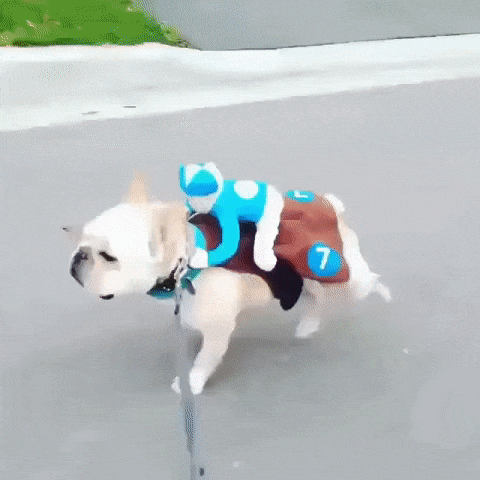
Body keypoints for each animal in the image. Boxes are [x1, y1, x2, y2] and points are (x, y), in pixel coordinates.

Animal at [67, 174, 391, 395]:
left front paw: (192, 383)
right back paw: (307, 326)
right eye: (84, 241)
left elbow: (206, 358)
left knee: (365, 280)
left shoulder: (217, 328)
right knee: (314, 298)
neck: (185, 265)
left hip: (343, 273)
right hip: (301, 277)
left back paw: (381, 289)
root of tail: (331, 206)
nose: (79, 255)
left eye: (108, 256)